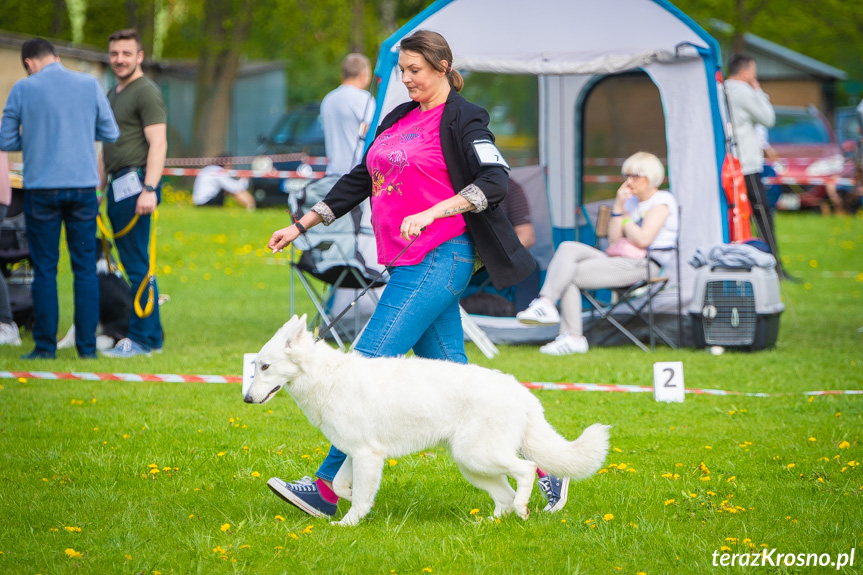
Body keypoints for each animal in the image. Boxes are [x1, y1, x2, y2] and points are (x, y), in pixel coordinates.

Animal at [241, 316, 608, 528]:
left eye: (265, 367)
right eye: (255, 365)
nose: (246, 399)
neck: (327, 377)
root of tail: (521, 392)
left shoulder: (366, 455)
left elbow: (358, 498)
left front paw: (347, 525)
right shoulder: (357, 453)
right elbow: (346, 487)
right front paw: (345, 501)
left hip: (477, 456)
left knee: (526, 470)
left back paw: (522, 507)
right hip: (472, 465)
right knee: (504, 494)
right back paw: (490, 524)